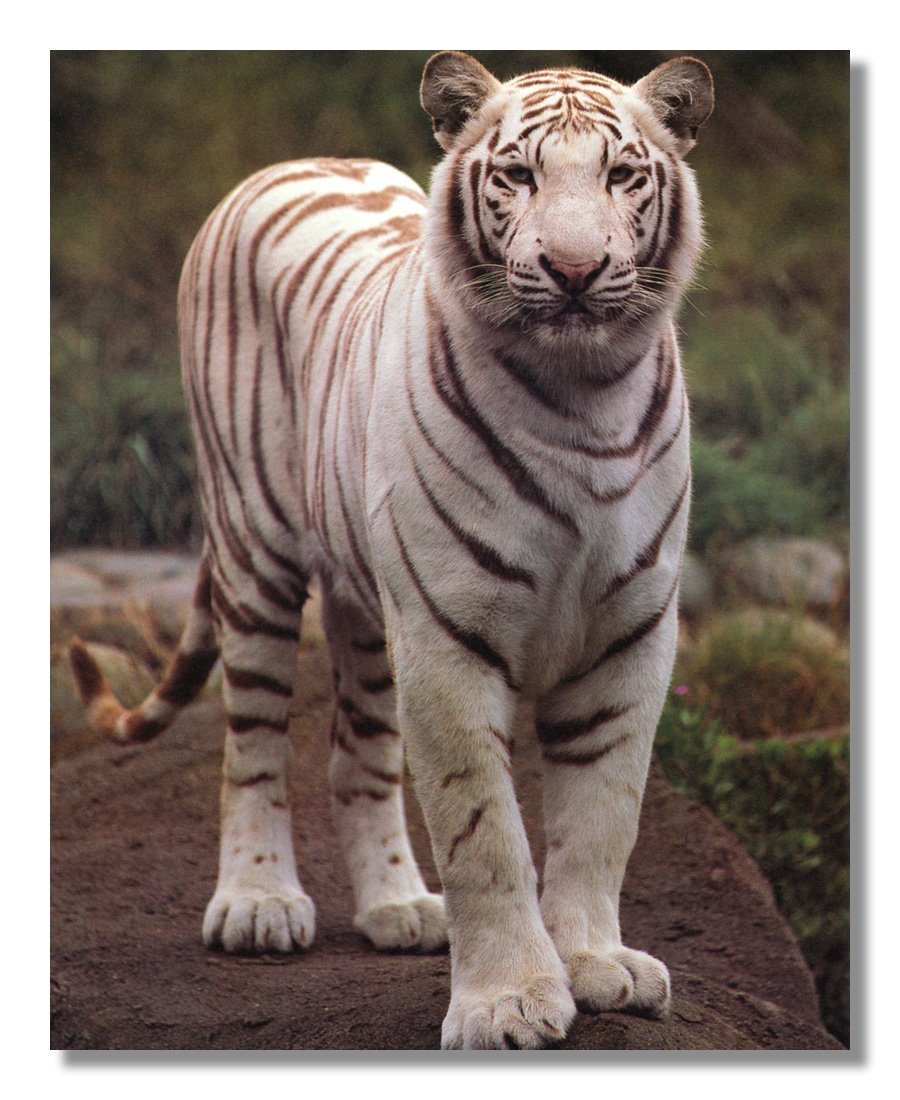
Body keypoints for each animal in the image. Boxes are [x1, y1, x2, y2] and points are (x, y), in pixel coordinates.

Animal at [69, 51, 714, 1049]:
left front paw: (597, 963)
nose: (574, 271)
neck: (584, 392)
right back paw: (258, 904)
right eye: (517, 174)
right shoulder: (449, 632)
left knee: (355, 753)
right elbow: (485, 834)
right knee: (252, 742)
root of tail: (300, 159)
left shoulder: (629, 635)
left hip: (369, 600)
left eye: (621, 175)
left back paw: (399, 908)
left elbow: (604, 817)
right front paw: (508, 1003)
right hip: (256, 552)